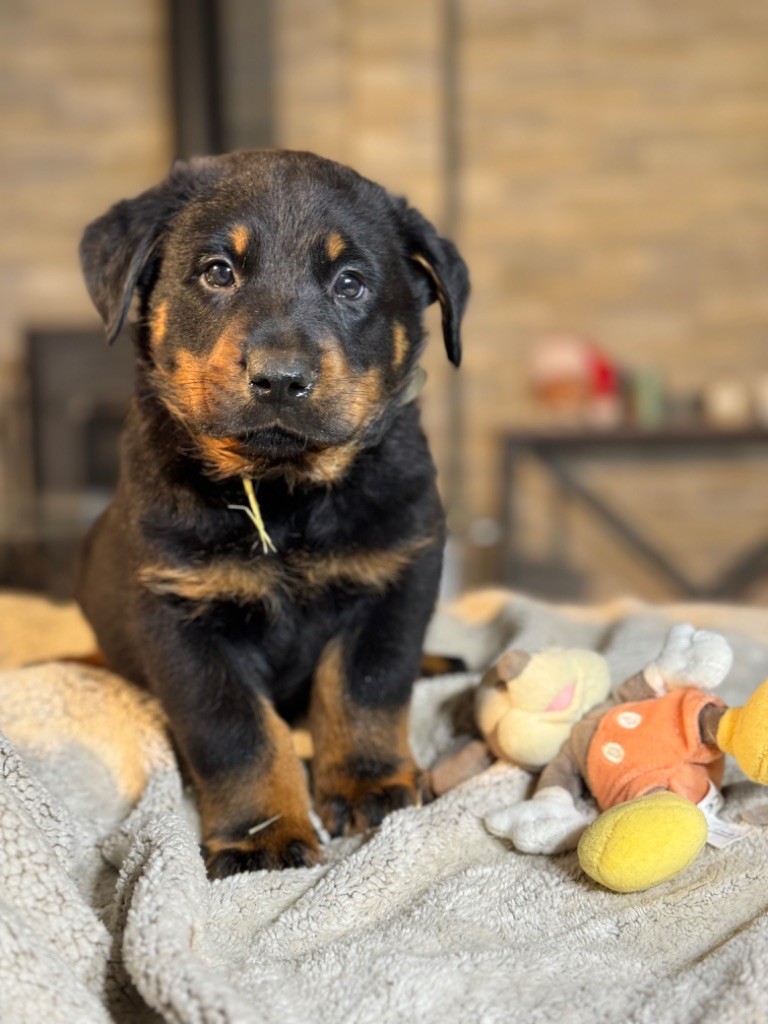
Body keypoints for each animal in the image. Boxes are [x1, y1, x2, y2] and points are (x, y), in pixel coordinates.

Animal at [78, 151, 468, 880]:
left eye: (351, 284)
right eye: (217, 271)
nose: (281, 378)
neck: (284, 495)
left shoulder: (399, 572)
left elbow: (368, 685)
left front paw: (368, 784)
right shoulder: (180, 613)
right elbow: (236, 732)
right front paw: (263, 835)